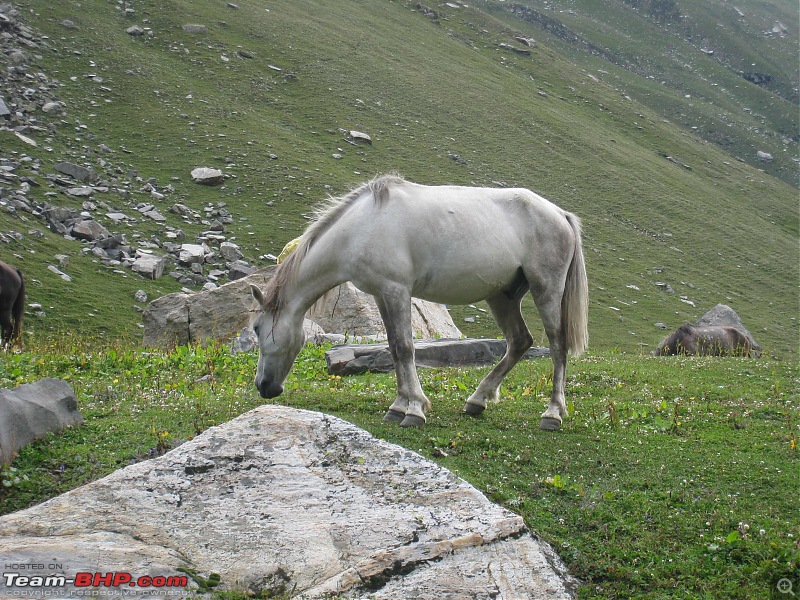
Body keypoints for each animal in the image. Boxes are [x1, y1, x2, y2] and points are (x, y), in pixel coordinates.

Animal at [250, 173, 588, 432]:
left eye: (256, 328)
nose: (264, 386)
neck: (362, 227)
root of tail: (560, 215)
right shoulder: (381, 294)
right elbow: (393, 347)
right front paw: (398, 406)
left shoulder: (397, 290)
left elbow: (404, 347)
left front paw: (414, 409)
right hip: (501, 296)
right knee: (519, 341)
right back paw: (478, 400)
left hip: (546, 289)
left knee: (557, 345)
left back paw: (552, 414)